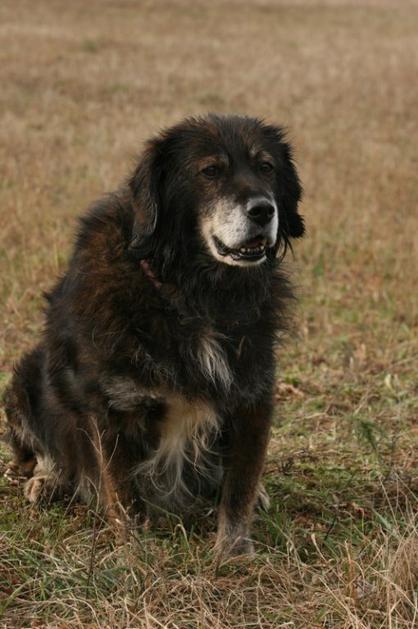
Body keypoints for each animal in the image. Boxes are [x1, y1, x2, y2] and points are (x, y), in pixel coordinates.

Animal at [4, 114, 304, 556]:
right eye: (210, 171)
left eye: (266, 167)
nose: (264, 210)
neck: (193, 293)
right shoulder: (110, 404)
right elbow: (123, 493)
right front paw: (135, 553)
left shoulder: (252, 394)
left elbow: (241, 486)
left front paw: (234, 552)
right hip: (25, 379)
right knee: (45, 448)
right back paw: (49, 479)